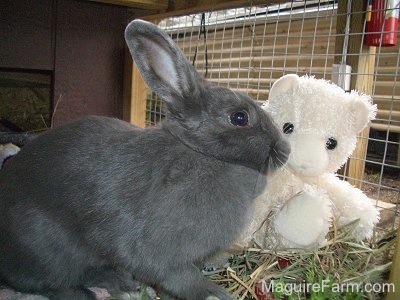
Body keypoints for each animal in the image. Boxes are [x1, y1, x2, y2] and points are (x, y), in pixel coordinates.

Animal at [0, 19, 288, 298]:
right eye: (239, 117)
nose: (285, 151)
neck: (199, 152)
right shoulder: (163, 253)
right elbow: (180, 278)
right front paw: (215, 292)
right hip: (47, 249)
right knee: (48, 284)